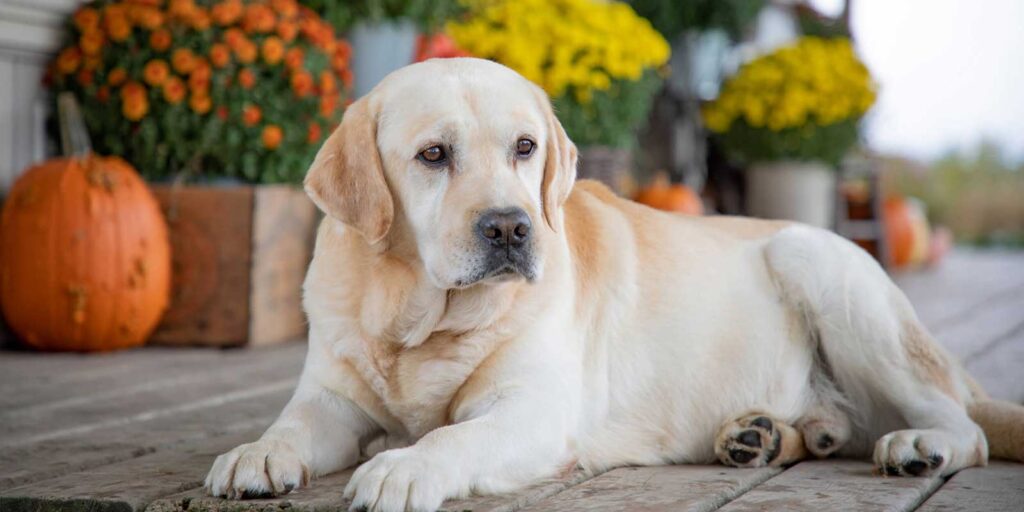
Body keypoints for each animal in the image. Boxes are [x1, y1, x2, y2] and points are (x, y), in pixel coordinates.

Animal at [203, 58, 1019, 509]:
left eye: (525, 148)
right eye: (433, 155)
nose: (511, 227)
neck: (422, 321)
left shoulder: (534, 412)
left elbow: (452, 437)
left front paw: (404, 465)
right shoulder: (331, 397)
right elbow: (292, 424)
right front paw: (254, 454)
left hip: (822, 270)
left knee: (968, 429)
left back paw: (918, 445)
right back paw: (763, 435)